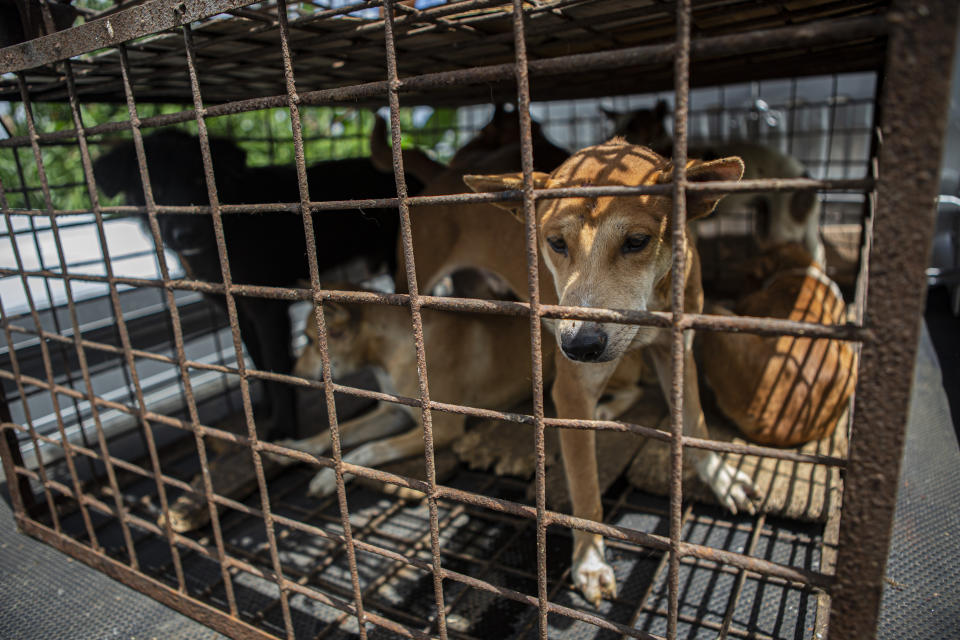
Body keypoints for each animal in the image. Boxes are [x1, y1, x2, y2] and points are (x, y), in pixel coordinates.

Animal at [94, 130, 424, 440]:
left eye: (199, 179)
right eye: (154, 189)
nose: (185, 234)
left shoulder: (268, 311)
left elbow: (277, 367)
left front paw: (283, 426)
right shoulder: (238, 309)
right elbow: (258, 360)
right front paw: (265, 406)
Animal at [464, 139, 756, 604]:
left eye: (637, 241)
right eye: (556, 242)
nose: (580, 345)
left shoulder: (677, 349)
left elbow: (694, 424)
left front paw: (721, 478)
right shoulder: (571, 388)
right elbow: (585, 482)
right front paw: (590, 559)